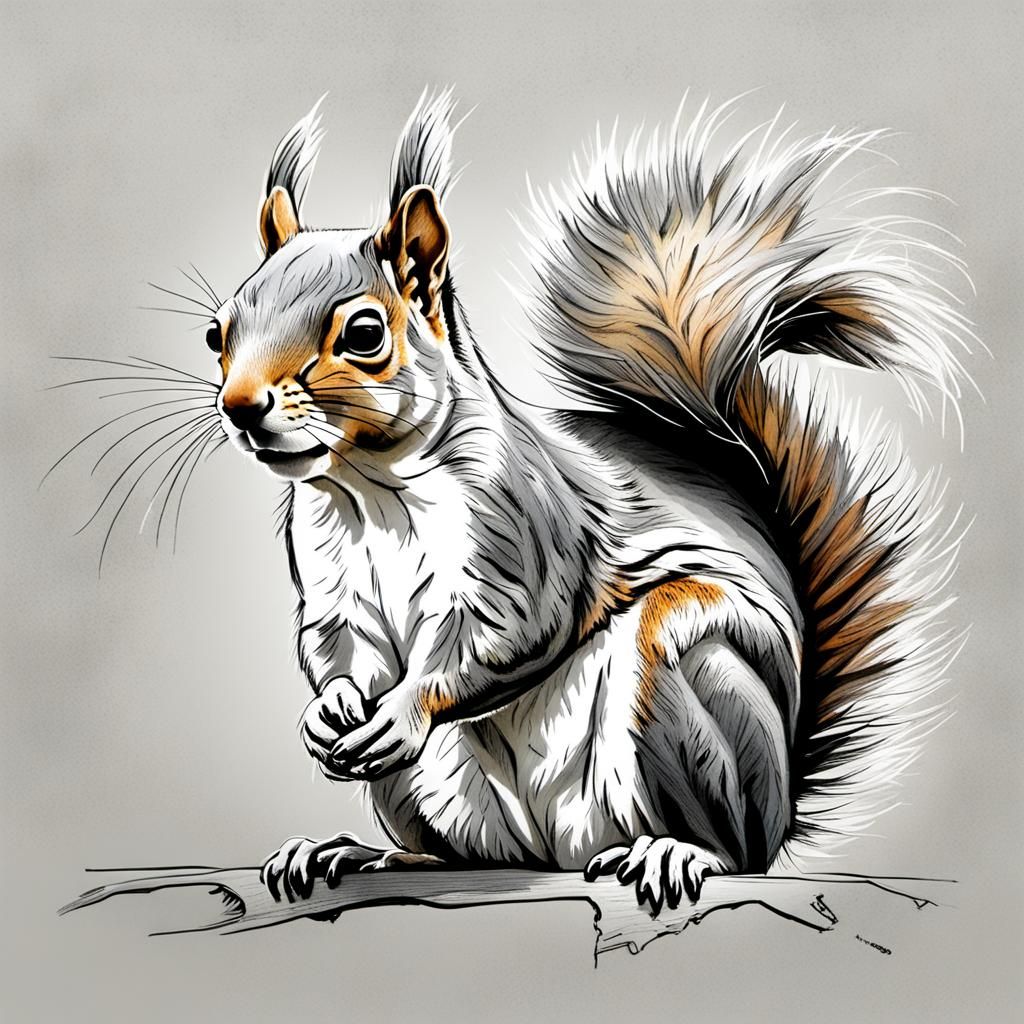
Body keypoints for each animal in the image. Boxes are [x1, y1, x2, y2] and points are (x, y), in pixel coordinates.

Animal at [201, 91, 968, 913]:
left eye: (366, 332)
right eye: (218, 332)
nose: (240, 406)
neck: (368, 489)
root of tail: (562, 848)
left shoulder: (527, 539)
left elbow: (509, 635)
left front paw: (404, 709)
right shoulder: (330, 581)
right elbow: (335, 647)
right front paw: (329, 711)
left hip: (691, 668)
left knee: (736, 848)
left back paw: (678, 850)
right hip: (429, 796)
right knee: (464, 857)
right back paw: (365, 855)